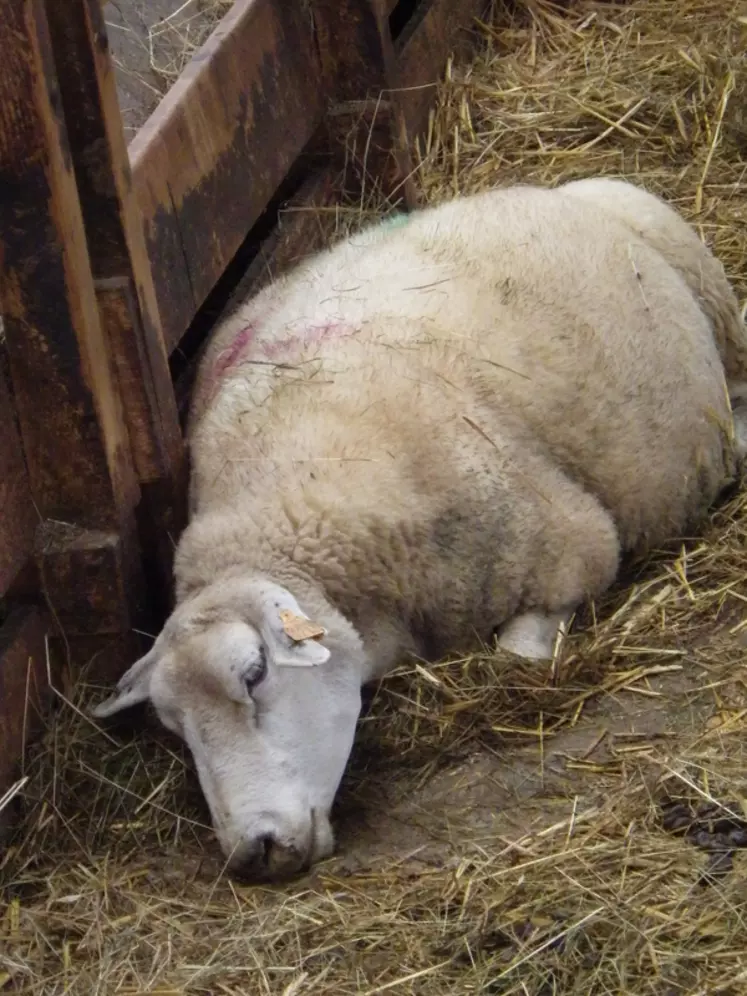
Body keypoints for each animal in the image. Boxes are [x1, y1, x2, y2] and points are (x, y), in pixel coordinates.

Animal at [92, 177, 747, 880]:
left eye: (255, 673)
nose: (253, 852)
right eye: (176, 727)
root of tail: (538, 188)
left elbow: (518, 656)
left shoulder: (570, 544)